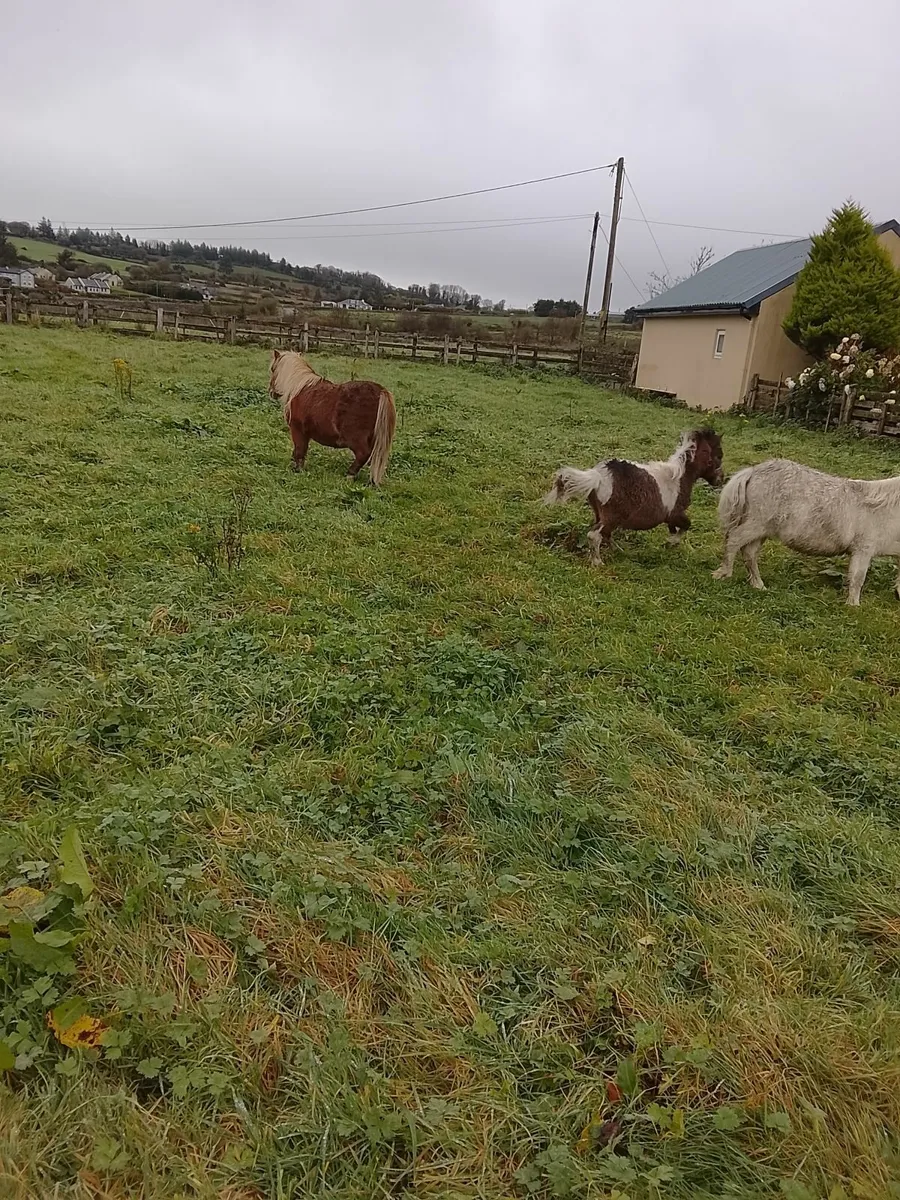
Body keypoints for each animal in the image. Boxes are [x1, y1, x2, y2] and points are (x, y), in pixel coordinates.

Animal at [268, 350, 397, 484]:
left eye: (272, 369)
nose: (271, 392)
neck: (298, 387)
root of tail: (381, 391)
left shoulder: (297, 430)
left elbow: (299, 451)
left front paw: (297, 470)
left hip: (356, 439)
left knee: (363, 454)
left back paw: (350, 475)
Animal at [543, 429, 723, 562]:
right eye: (718, 456)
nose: (720, 480)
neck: (678, 478)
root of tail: (598, 476)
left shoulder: (670, 518)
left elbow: (674, 530)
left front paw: (670, 544)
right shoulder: (674, 513)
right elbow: (686, 525)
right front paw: (672, 543)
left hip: (600, 514)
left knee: (605, 535)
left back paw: (620, 552)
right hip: (612, 517)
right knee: (594, 535)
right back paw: (598, 562)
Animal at [713, 458, 900, 605]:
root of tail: (753, 471)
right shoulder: (863, 549)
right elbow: (857, 578)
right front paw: (853, 606)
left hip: (761, 530)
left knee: (749, 553)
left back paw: (758, 585)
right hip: (756, 524)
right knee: (734, 540)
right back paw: (723, 574)